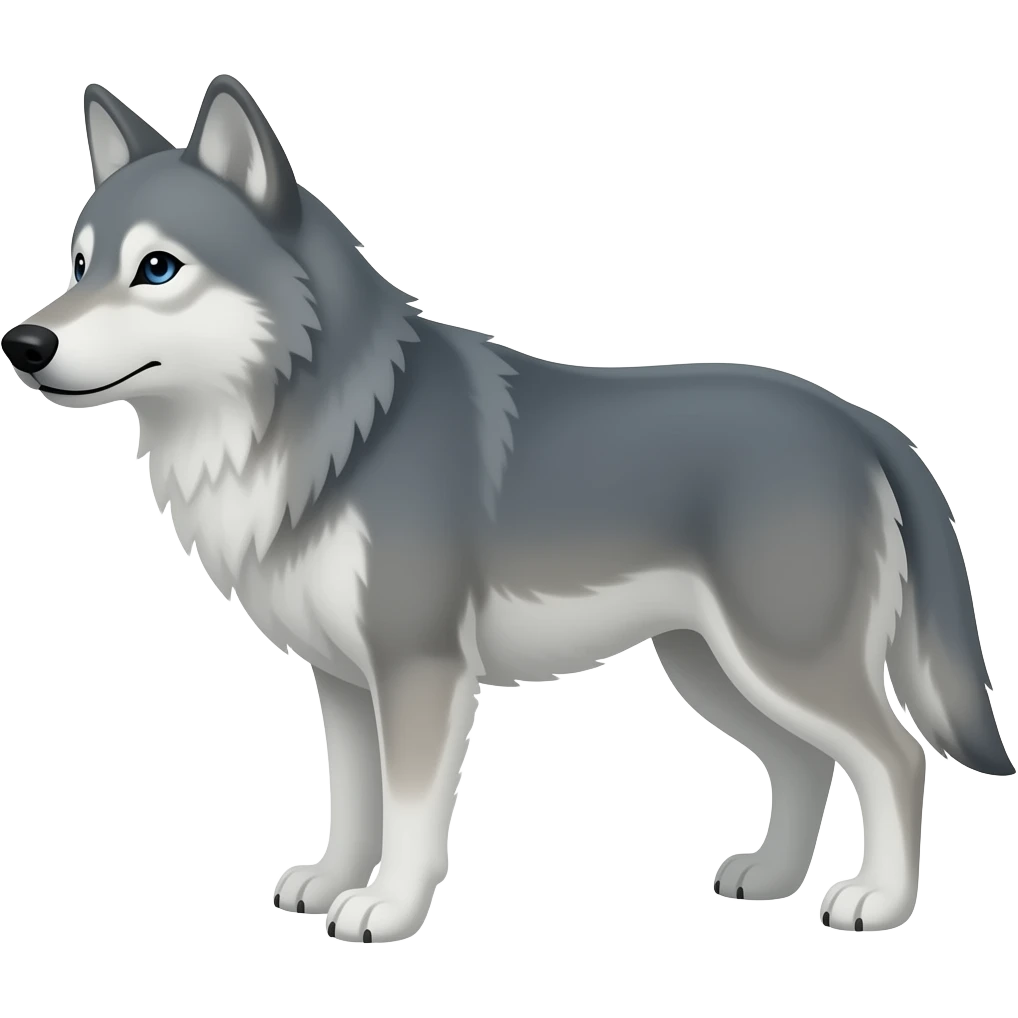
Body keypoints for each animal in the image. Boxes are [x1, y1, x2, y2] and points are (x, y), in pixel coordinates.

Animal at [2, 75, 1011, 942]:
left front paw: (386, 909)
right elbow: (352, 800)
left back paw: (877, 901)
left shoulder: (419, 668)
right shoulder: (342, 680)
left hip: (780, 660)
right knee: (808, 760)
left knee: (894, 757)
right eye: (80, 264)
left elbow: (411, 813)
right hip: (713, 667)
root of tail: (858, 419)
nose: (24, 343)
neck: (340, 428)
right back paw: (769, 879)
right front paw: (330, 883)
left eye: (157, 269)